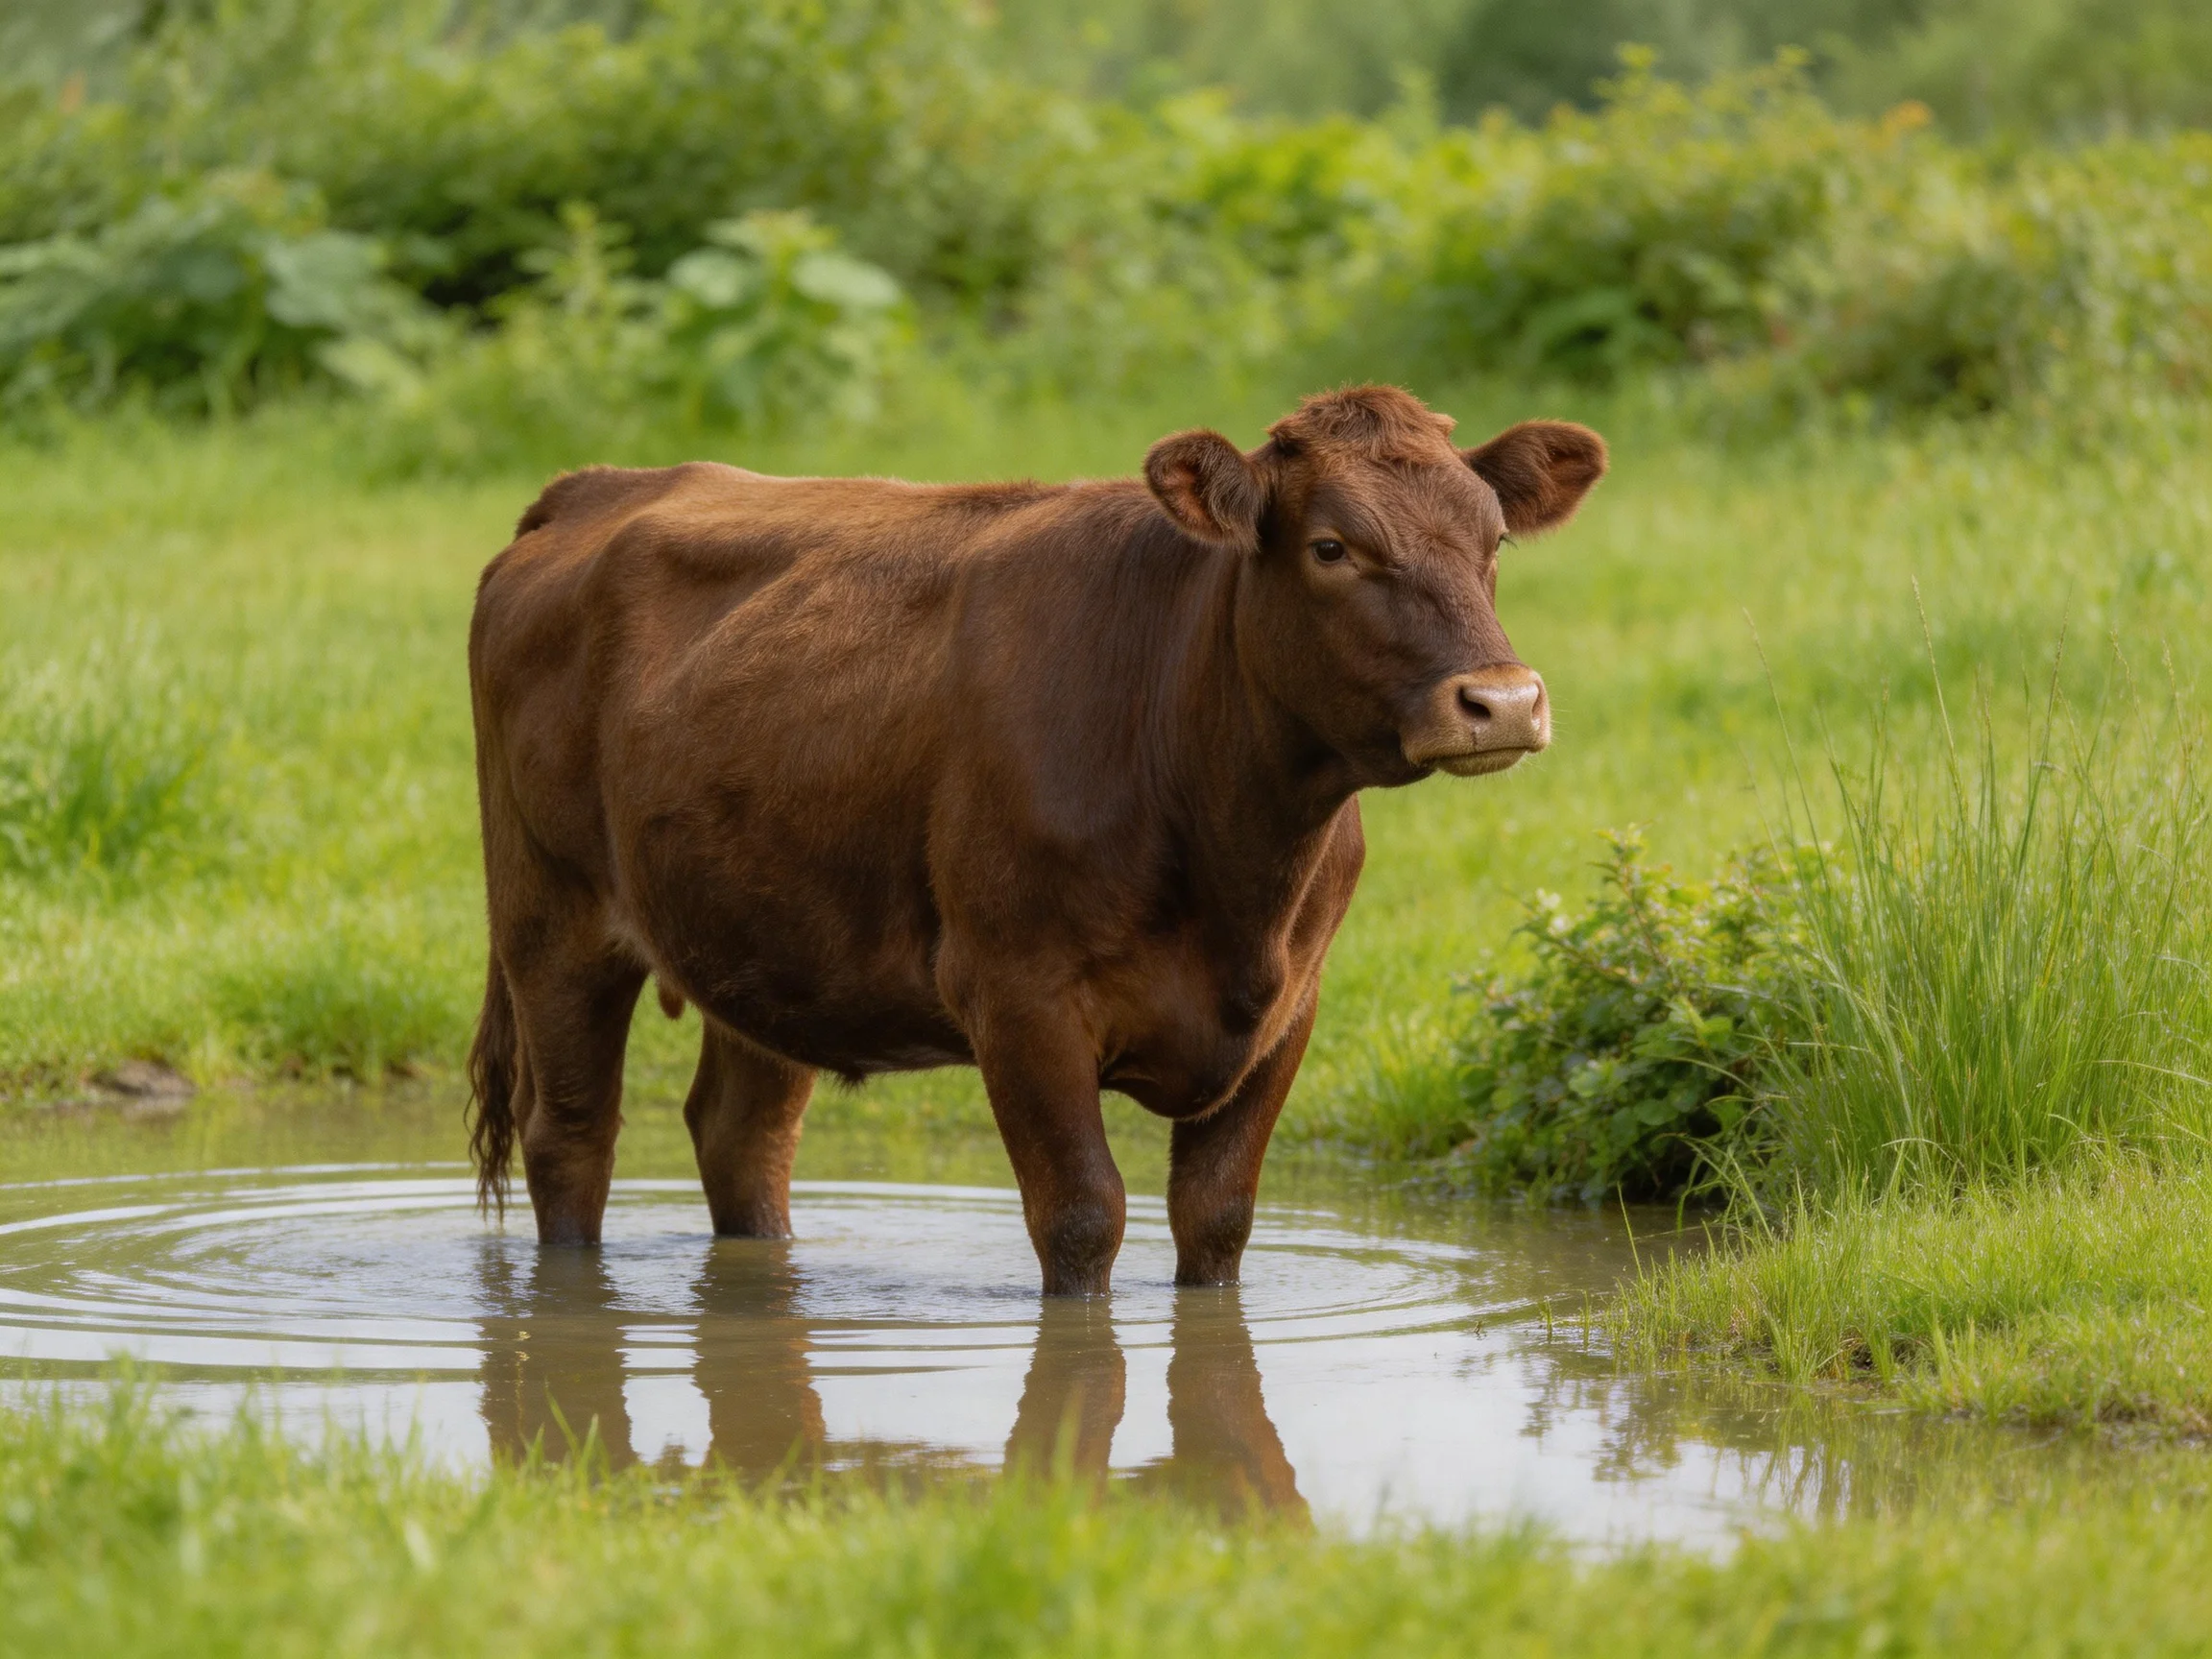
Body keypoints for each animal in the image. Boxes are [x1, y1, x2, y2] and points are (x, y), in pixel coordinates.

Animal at [465, 384, 1605, 1294]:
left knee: (741, 1135)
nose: (1502, 701)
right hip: (551, 917)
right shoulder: (1019, 997)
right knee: (571, 1136)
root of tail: (602, 485)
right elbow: (1083, 1216)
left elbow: (1218, 1220)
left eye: (1493, 543)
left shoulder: (1289, 1011)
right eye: (1332, 546)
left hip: (761, 935)